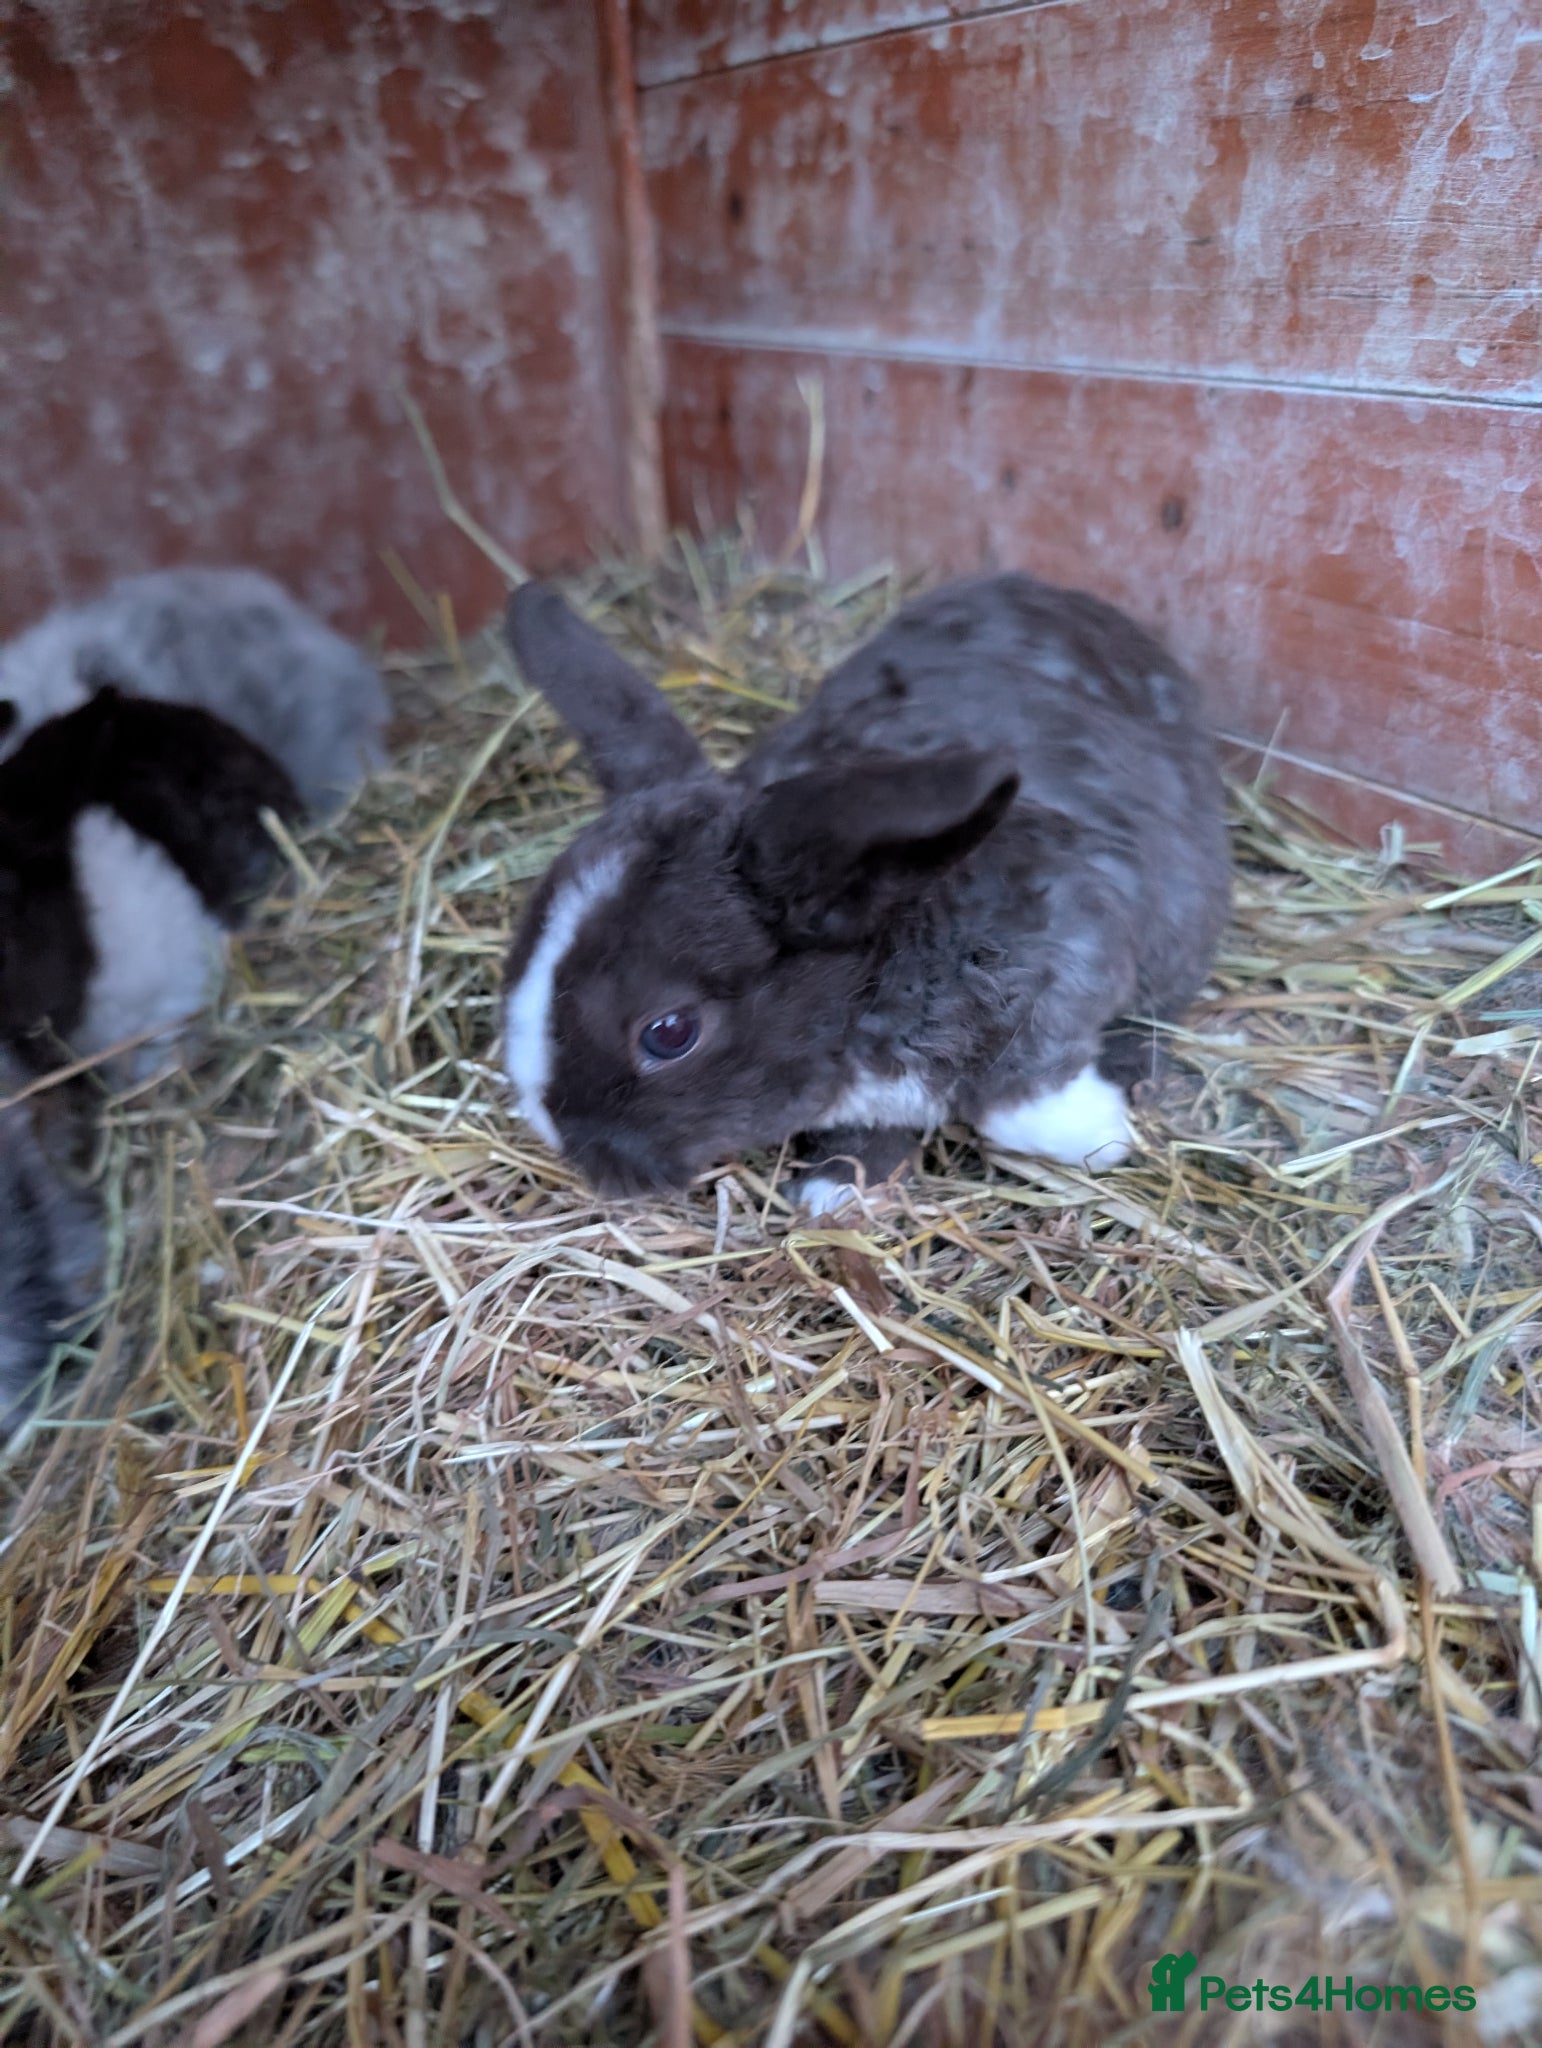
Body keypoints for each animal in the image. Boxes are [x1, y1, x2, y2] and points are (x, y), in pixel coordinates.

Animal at [499, 572, 1231, 1212]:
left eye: (670, 1033)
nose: (574, 1152)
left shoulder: (1070, 950)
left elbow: (1020, 1105)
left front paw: (1101, 1136)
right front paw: (836, 1191)